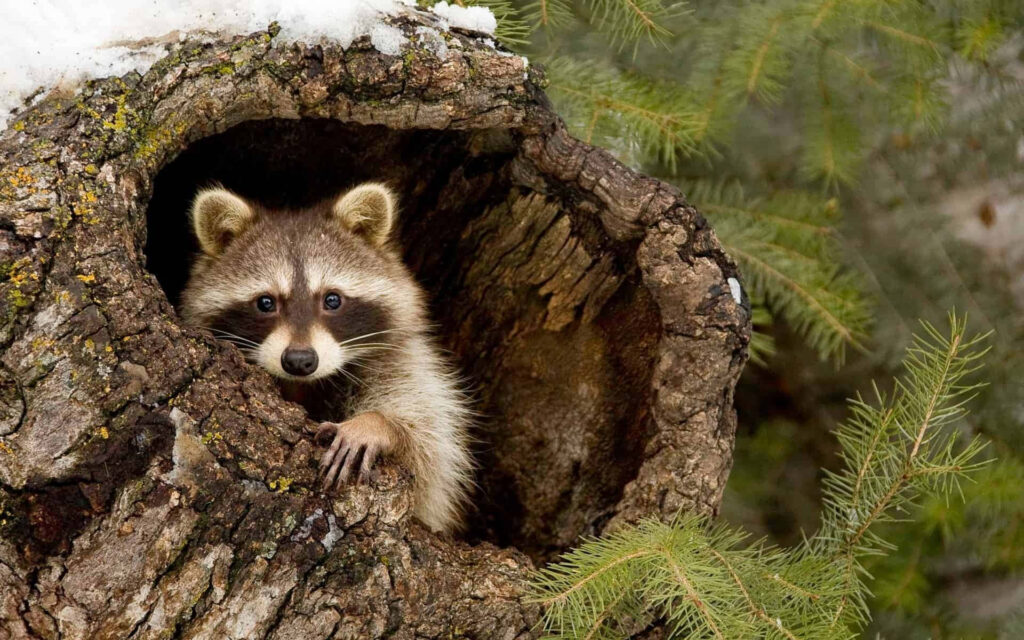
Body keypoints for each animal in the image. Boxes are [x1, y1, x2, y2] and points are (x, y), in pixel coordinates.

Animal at [180, 183, 473, 533]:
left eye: (332, 299)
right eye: (265, 303)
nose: (299, 360)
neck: (304, 385)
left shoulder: (403, 359)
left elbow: (429, 446)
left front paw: (378, 423)